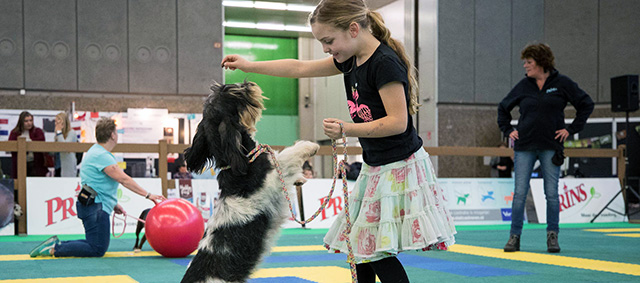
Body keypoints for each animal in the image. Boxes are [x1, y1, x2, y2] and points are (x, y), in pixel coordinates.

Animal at [180, 81, 320, 282]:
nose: (248, 84)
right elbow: (286, 156)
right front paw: (309, 146)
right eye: (235, 93)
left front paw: (301, 178)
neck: (234, 165)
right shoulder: (274, 180)